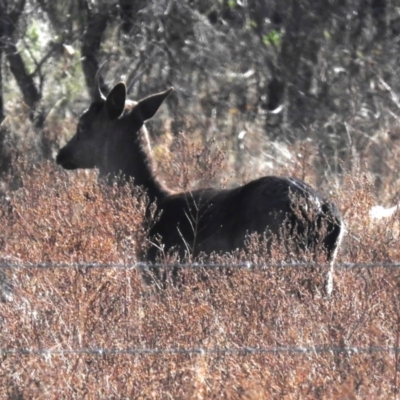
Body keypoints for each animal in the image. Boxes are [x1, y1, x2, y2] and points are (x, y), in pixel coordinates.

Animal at [56, 79, 344, 290]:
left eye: (83, 125)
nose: (61, 154)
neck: (151, 206)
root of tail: (325, 213)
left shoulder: (164, 272)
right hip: (322, 267)